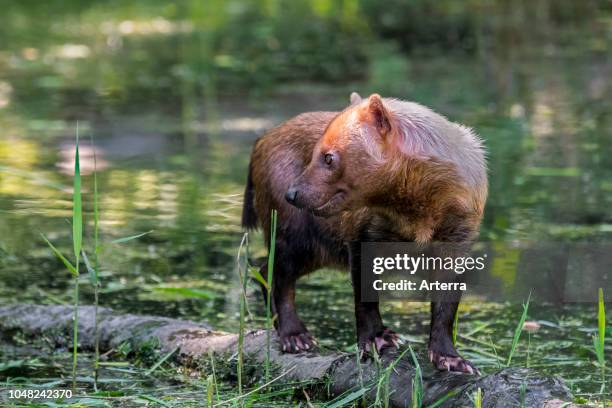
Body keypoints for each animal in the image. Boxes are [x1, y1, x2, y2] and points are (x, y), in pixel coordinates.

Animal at [244, 92, 488, 372]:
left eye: (328, 157)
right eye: (313, 152)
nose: (292, 193)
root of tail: (261, 140)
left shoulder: (457, 236)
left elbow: (446, 305)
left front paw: (452, 358)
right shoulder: (362, 234)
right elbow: (364, 295)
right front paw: (375, 340)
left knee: (266, 269)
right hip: (296, 232)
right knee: (276, 273)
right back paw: (296, 336)